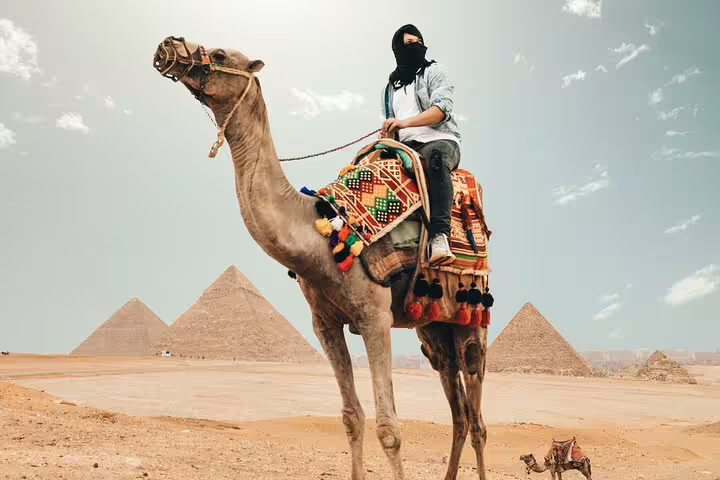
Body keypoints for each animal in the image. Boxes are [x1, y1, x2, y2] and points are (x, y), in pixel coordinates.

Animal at [153, 36, 489, 480]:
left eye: (221, 55)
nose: (169, 46)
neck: (318, 234)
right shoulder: (325, 323)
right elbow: (351, 417)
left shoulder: (374, 316)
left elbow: (389, 429)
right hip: (433, 328)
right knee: (459, 413)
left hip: (472, 321)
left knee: (478, 418)